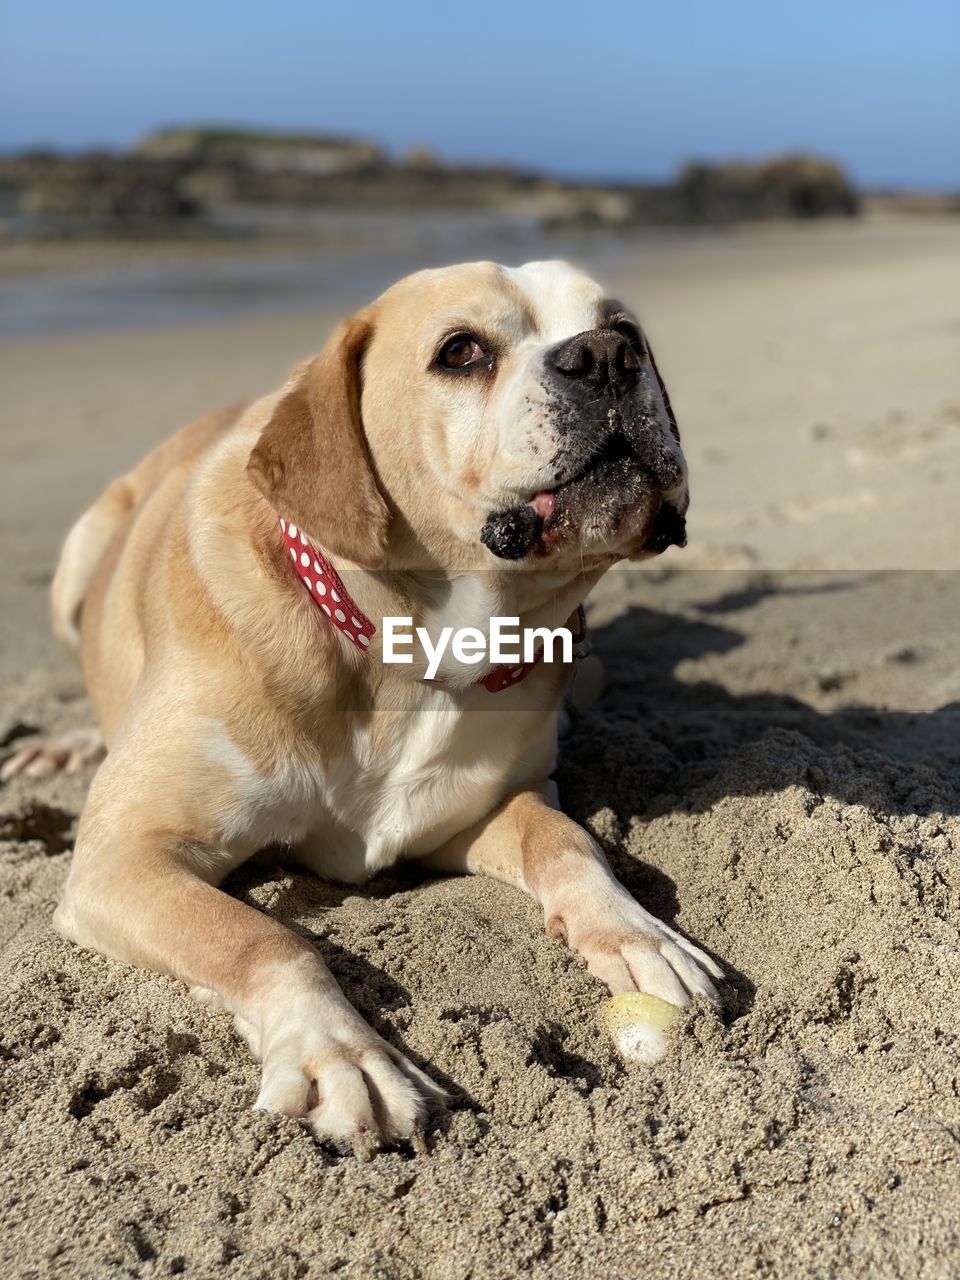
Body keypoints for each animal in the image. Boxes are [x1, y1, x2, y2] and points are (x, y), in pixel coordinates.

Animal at [5, 262, 721, 1152]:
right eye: (461, 352)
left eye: (629, 332)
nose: (605, 357)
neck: (410, 659)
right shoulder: (124, 858)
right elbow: (260, 937)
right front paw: (339, 1054)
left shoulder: (476, 812)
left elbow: (564, 840)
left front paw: (637, 931)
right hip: (82, 550)